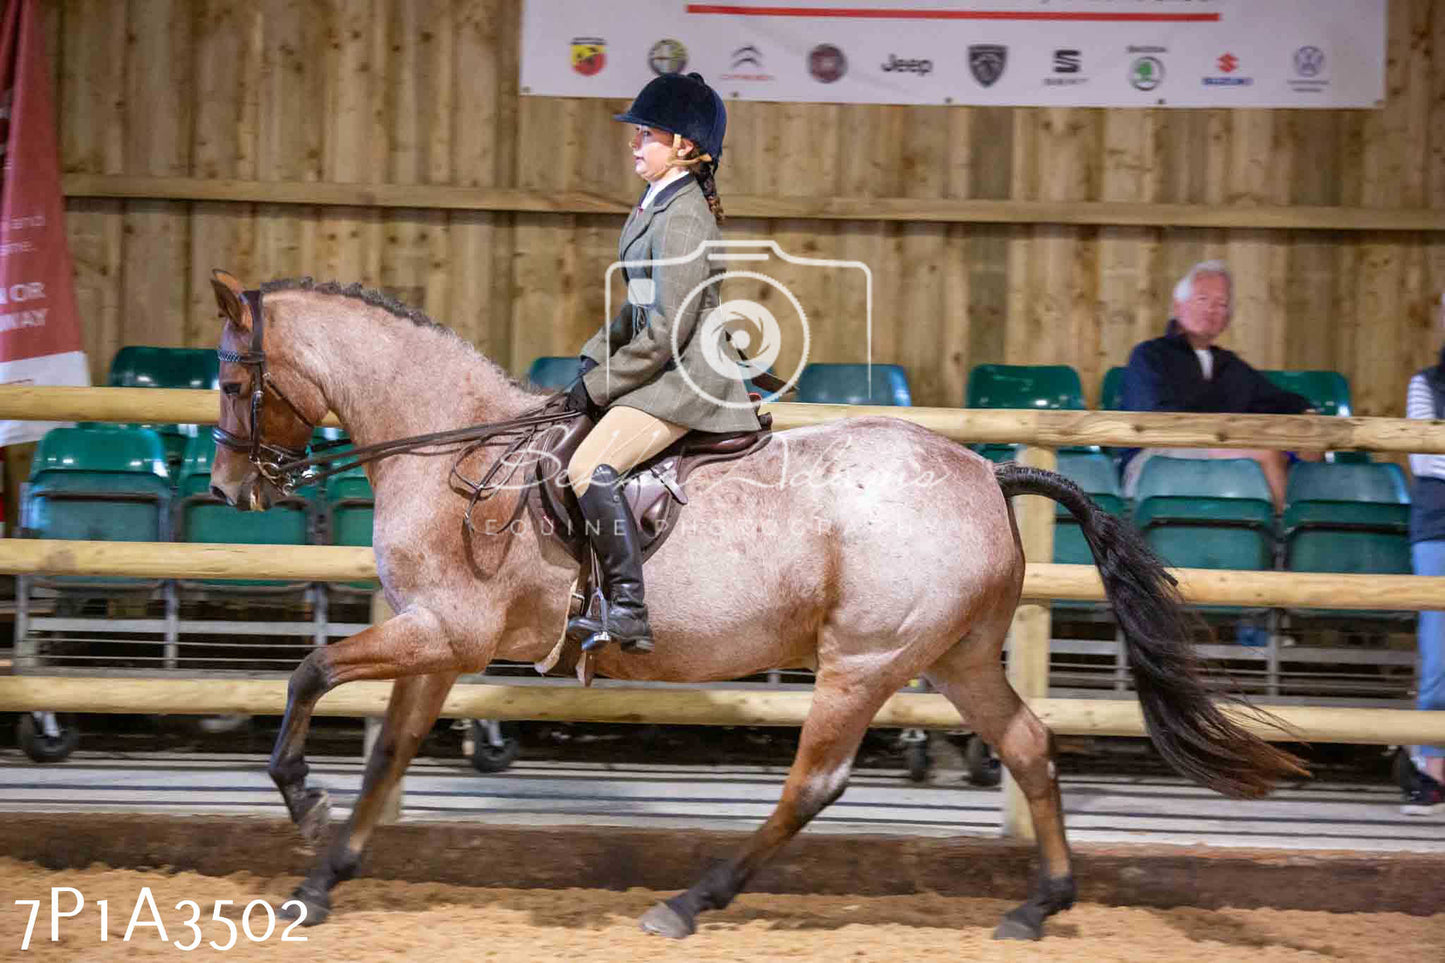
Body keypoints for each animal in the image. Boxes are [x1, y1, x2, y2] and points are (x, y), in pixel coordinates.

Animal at [209, 267, 1306, 936]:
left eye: (227, 378)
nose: (227, 489)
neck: (458, 450)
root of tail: (986, 472)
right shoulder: (435, 646)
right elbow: (388, 756)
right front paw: (317, 883)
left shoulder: (444, 631)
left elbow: (309, 671)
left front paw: (299, 797)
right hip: (952, 656)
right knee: (1030, 747)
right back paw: (1042, 904)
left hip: (863, 660)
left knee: (814, 784)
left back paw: (692, 899)